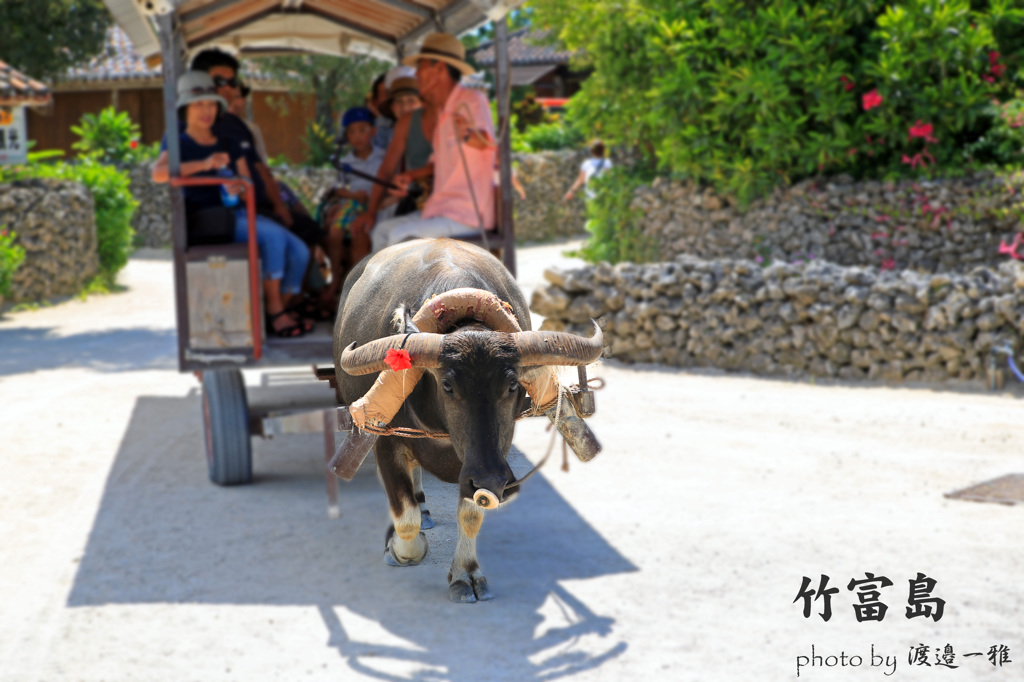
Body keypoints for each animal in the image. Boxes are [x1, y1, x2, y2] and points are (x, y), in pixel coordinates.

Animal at [331, 237, 602, 602]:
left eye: (512, 385)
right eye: (448, 385)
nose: (493, 479)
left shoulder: (487, 457)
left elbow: (471, 513)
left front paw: (466, 575)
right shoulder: (383, 439)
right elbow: (406, 521)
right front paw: (400, 549)